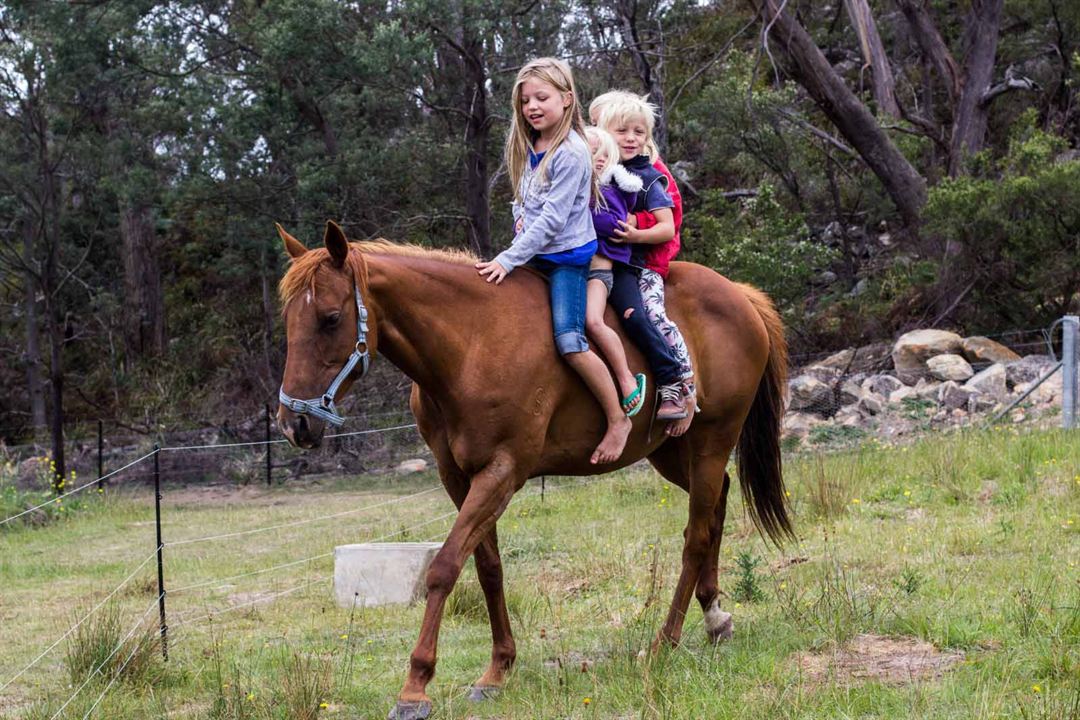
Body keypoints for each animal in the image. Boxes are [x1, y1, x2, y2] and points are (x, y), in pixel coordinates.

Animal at [274, 222, 790, 716]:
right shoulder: (458, 477)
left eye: (330, 318)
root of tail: (739, 295)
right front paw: (497, 670)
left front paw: (415, 687)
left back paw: (666, 640)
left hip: (710, 443)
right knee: (717, 506)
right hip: (672, 451)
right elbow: (487, 566)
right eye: (289, 321)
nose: (294, 423)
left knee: (695, 536)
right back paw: (715, 617)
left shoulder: (503, 472)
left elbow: (444, 566)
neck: (472, 341)